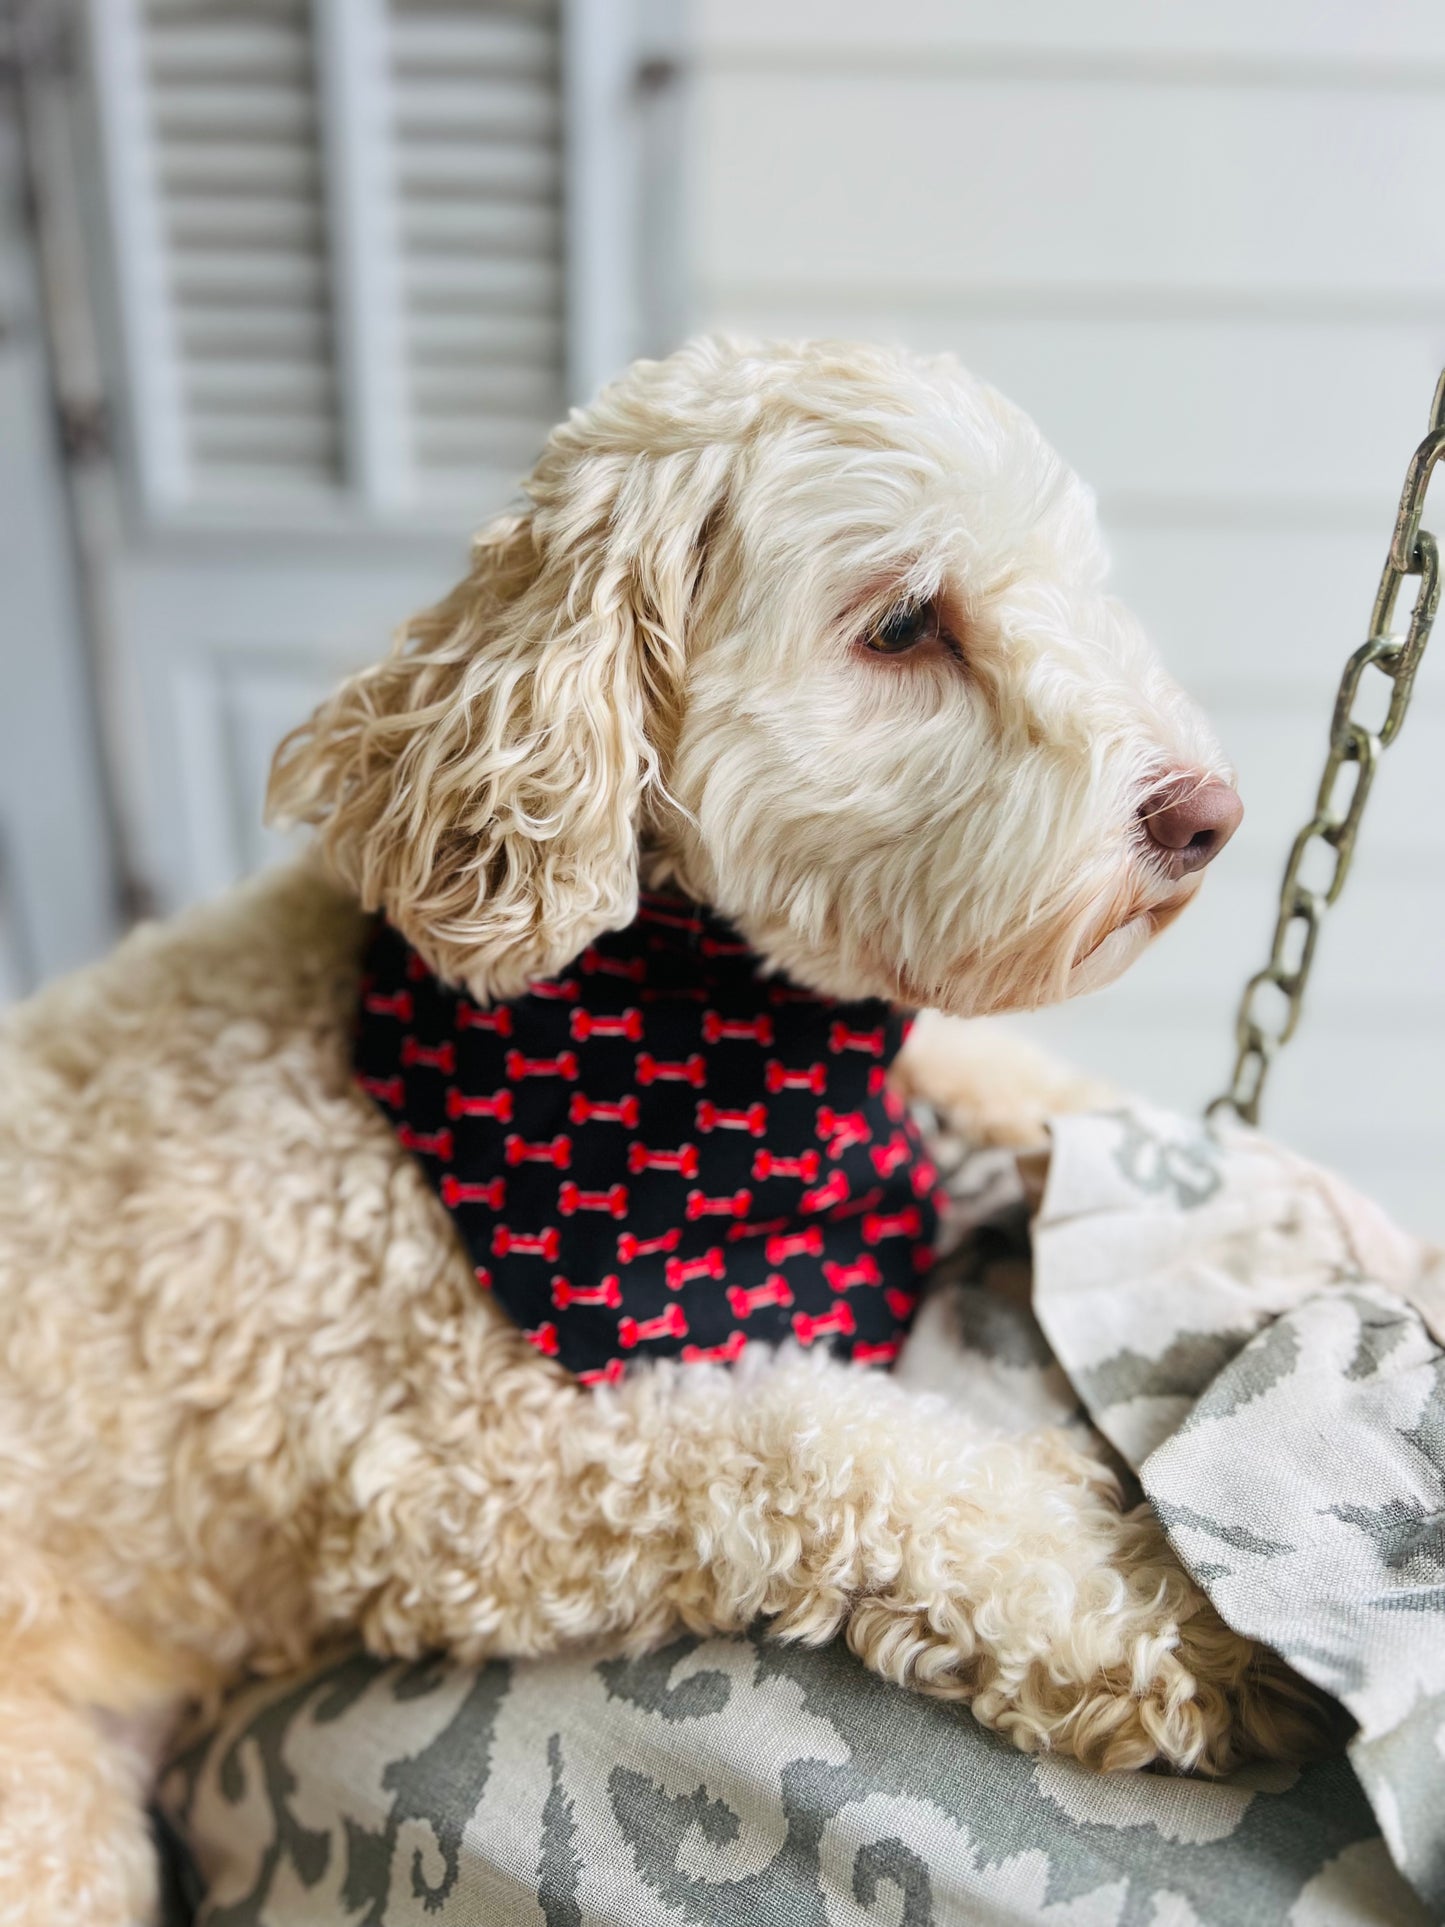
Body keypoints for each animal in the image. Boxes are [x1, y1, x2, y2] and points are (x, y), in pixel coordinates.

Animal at [0, 339, 1325, 1919]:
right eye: (903, 625)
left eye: (1073, 579)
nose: (1209, 814)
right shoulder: (456, 1483)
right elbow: (810, 1441)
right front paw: (1152, 1611)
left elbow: (1010, 1070)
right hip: (52, 1810)